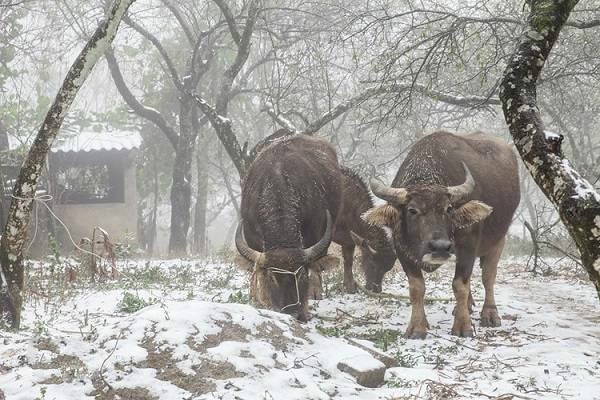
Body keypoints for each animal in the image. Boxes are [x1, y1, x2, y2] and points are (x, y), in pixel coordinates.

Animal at [366, 133, 520, 340]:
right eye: (412, 210)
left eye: (448, 209)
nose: (440, 247)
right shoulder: (402, 250)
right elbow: (417, 288)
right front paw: (418, 327)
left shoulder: (467, 247)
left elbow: (460, 285)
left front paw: (463, 326)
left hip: (498, 239)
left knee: (488, 276)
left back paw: (490, 314)